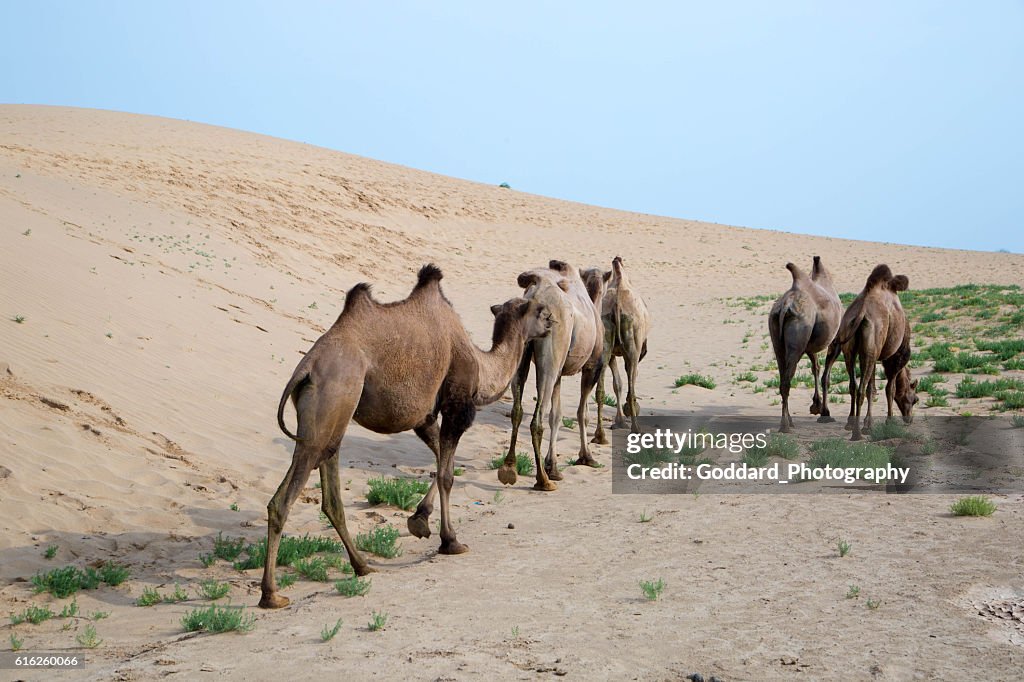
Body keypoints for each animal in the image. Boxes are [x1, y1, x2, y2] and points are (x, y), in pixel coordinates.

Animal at [264, 262, 552, 606]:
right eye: (539, 310)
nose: (552, 321)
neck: (482, 366)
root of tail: (306, 368)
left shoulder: (424, 416)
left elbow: (442, 462)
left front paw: (420, 520)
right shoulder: (457, 405)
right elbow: (447, 474)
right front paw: (450, 541)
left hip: (331, 418)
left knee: (330, 490)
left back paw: (362, 566)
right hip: (331, 402)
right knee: (284, 498)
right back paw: (272, 594)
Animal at [497, 259, 602, 489]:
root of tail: (535, 295)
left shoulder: (560, 373)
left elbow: (557, 415)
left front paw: (552, 466)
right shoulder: (592, 365)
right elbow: (582, 413)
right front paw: (586, 457)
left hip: (523, 349)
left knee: (517, 410)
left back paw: (509, 469)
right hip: (552, 352)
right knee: (537, 419)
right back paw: (543, 481)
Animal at [593, 254, 647, 440]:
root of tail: (617, 304)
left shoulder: (612, 353)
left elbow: (617, 383)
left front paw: (619, 421)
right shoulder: (637, 350)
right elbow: (631, 378)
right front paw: (628, 413)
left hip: (605, 339)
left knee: (601, 389)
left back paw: (600, 435)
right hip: (632, 342)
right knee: (631, 379)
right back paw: (636, 428)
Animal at [770, 254, 839, 430]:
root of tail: (786, 306)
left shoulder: (810, 346)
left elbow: (816, 367)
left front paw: (816, 406)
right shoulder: (836, 340)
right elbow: (826, 377)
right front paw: (825, 413)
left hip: (777, 338)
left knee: (783, 375)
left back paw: (789, 421)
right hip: (798, 336)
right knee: (787, 379)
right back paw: (785, 426)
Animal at [815, 262, 921, 438]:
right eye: (915, 399)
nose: (909, 419)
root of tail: (861, 314)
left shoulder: (873, 353)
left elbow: (873, 388)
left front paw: (869, 423)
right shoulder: (896, 356)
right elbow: (890, 389)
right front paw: (889, 421)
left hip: (852, 350)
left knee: (852, 385)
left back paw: (849, 422)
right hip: (871, 346)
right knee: (860, 389)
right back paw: (856, 433)